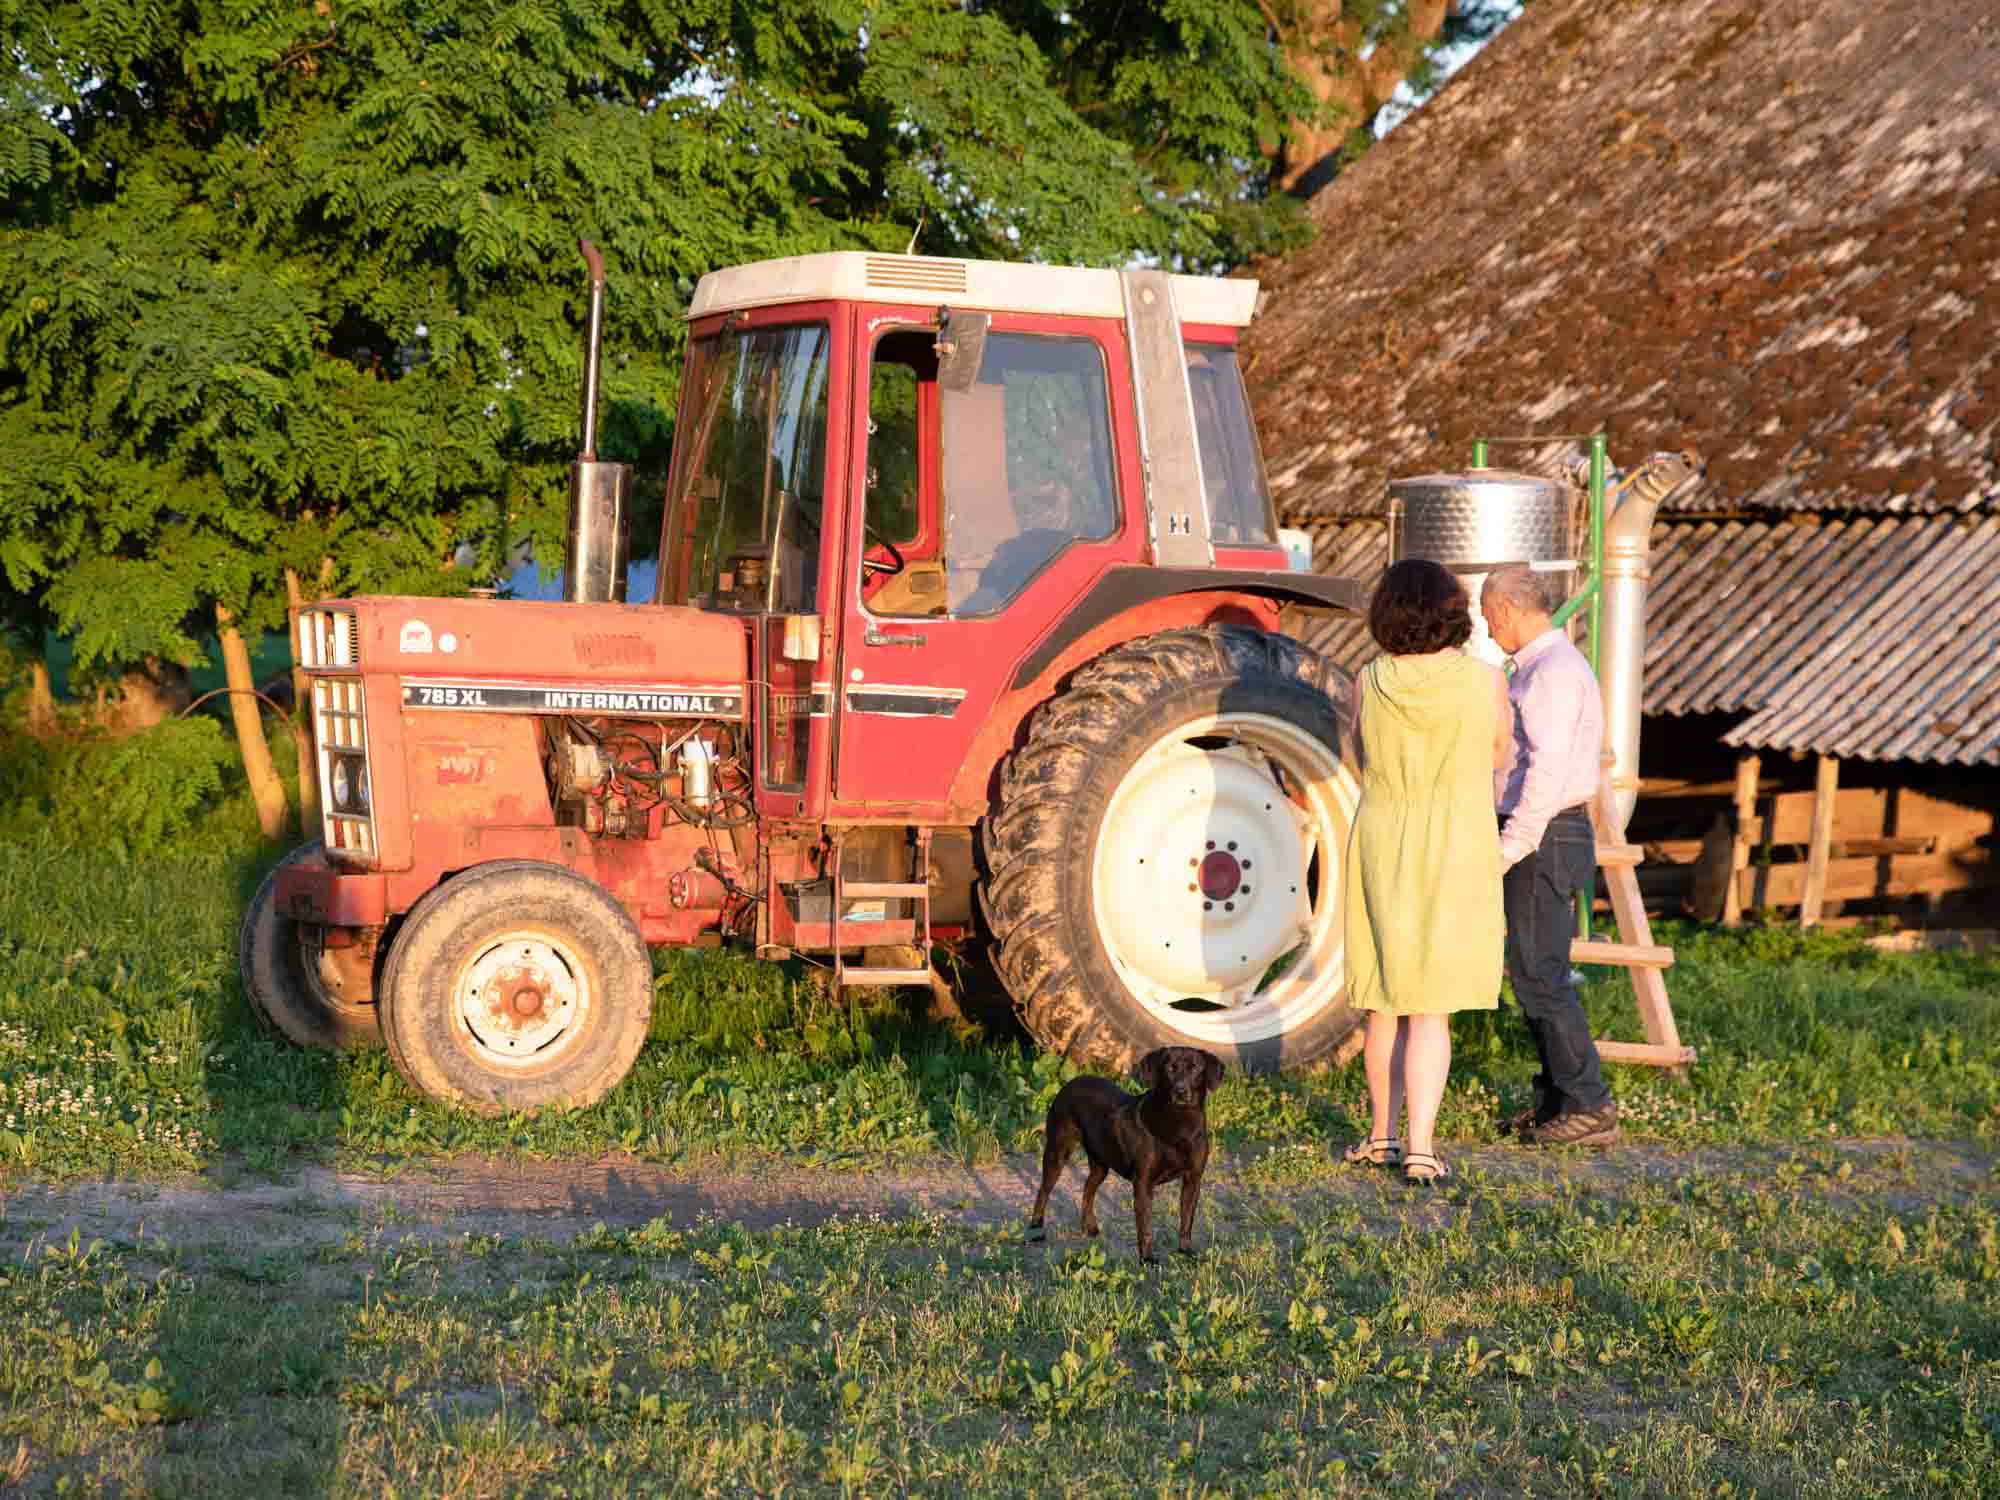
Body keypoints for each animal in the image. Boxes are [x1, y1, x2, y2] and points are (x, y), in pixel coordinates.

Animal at [1026, 1046, 1224, 1262]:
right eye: (1170, 1068)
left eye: (1195, 1068)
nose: (1180, 1091)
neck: (1181, 1124)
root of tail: (1071, 1082)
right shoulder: (1143, 1183)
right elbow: (1145, 1226)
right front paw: (1147, 1259)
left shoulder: (1193, 1180)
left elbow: (1187, 1221)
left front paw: (1186, 1251)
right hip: (1058, 1152)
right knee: (1044, 1191)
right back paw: (1036, 1229)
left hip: (1100, 1164)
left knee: (1088, 1189)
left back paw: (1089, 1227)